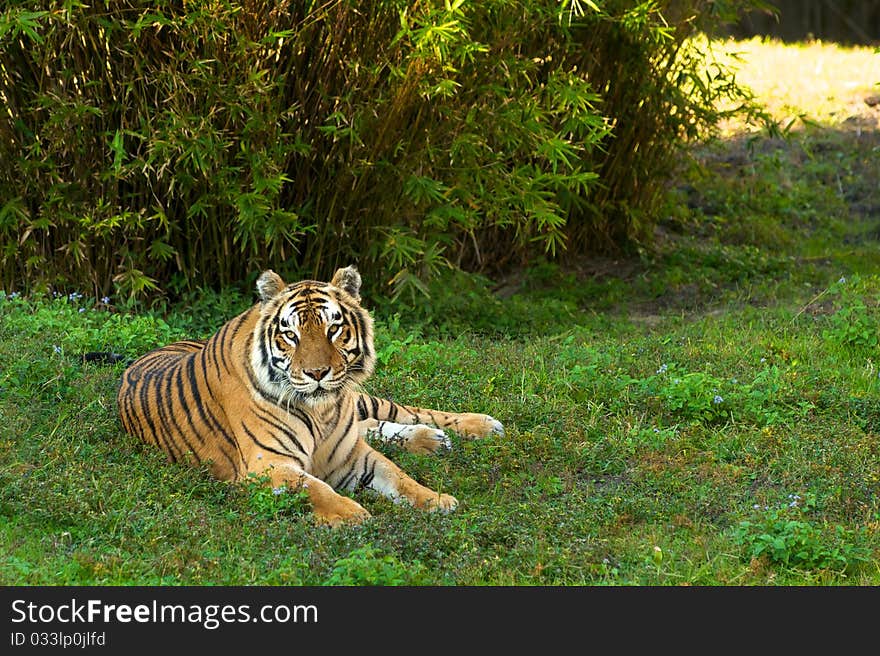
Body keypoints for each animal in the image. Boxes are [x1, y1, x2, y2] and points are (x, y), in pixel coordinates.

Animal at [116, 264, 502, 524]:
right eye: (291, 334)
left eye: (334, 329)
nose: (318, 374)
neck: (322, 413)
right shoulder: (269, 464)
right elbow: (314, 487)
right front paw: (353, 516)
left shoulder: (350, 453)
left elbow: (398, 476)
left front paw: (436, 501)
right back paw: (433, 440)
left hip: (361, 398)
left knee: (404, 413)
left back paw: (474, 427)